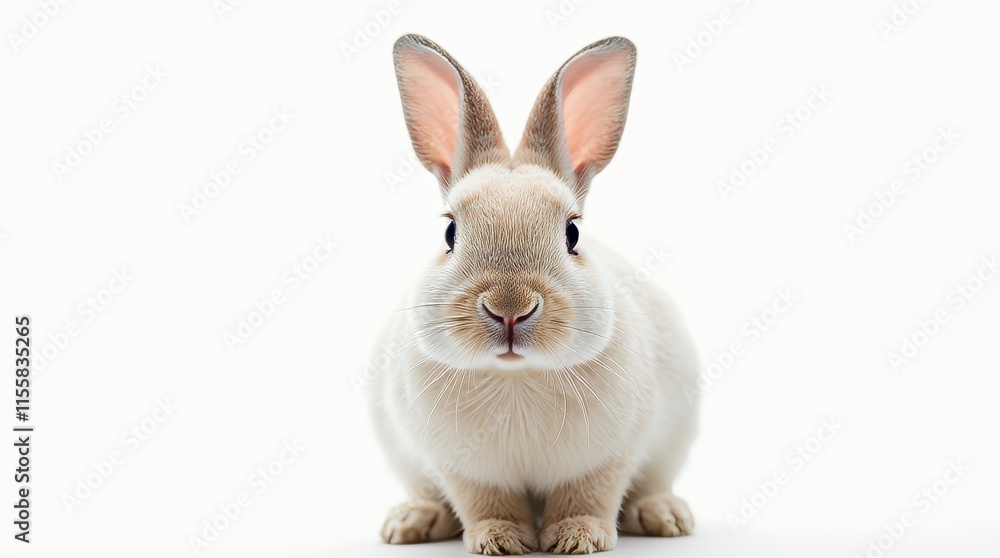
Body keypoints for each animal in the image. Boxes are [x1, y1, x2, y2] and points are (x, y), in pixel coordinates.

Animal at [368, 34, 700, 555]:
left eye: (572, 234)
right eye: (449, 232)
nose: (510, 309)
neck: (515, 378)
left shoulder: (609, 456)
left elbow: (589, 496)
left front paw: (579, 537)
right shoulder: (463, 468)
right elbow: (485, 504)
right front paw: (499, 540)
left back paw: (664, 516)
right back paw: (410, 523)